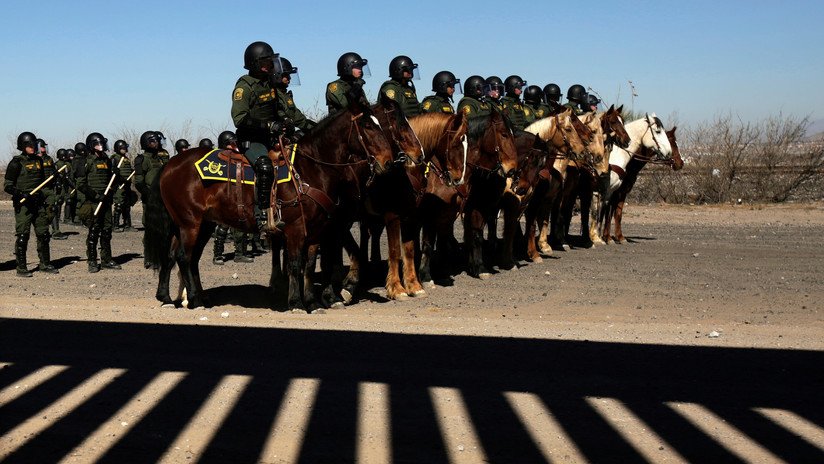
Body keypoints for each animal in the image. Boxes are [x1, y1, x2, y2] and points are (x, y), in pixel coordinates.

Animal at [143, 93, 394, 312]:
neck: (310, 169)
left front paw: (312, 302)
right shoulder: (295, 229)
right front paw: (296, 303)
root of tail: (170, 165)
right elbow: (295, 263)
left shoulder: (315, 229)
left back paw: (169, 297)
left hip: (200, 224)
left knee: (177, 257)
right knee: (184, 257)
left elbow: (309, 265)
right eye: (368, 125)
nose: (388, 161)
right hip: (190, 223)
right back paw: (194, 300)